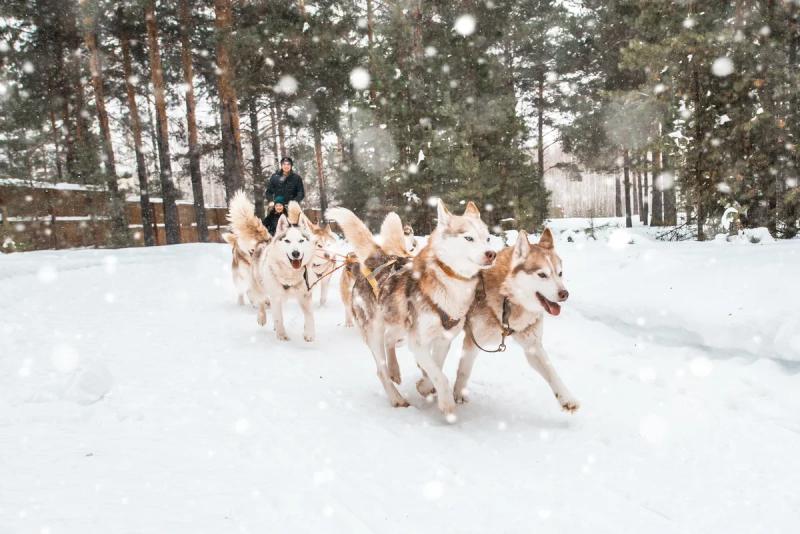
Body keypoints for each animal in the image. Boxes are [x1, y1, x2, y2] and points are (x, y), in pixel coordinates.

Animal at [330, 199, 494, 420]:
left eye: (488, 238)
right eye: (468, 238)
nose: (492, 253)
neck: (450, 286)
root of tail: (378, 259)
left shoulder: (443, 339)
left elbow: (435, 368)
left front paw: (425, 386)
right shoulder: (418, 342)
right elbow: (439, 375)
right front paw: (446, 405)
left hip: (399, 326)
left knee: (390, 340)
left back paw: (395, 370)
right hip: (374, 331)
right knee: (380, 369)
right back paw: (396, 397)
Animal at [454, 231, 580, 414]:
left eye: (560, 273)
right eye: (542, 275)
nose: (565, 294)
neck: (508, 298)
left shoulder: (533, 346)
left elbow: (552, 372)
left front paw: (566, 398)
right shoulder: (473, 341)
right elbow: (464, 370)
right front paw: (458, 393)